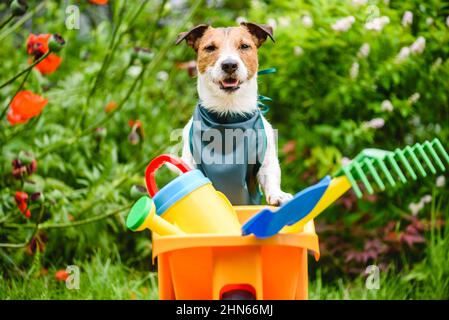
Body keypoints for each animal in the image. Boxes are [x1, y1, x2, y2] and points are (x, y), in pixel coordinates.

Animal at [173, 23, 292, 208]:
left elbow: (270, 176)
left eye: (244, 46)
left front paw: (278, 195)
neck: (228, 113)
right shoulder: (191, 163)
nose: (229, 65)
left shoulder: (266, 160)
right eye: (210, 48)